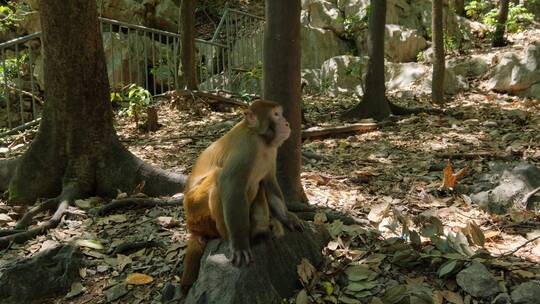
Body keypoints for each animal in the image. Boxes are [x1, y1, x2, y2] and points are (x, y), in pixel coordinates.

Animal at [180, 99, 304, 292]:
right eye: (276, 115)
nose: (287, 123)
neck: (261, 139)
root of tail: (192, 227)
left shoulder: (272, 151)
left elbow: (269, 182)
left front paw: (286, 217)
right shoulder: (246, 147)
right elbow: (230, 184)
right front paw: (239, 243)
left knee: (257, 184)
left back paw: (261, 228)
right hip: (197, 210)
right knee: (220, 178)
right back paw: (231, 235)